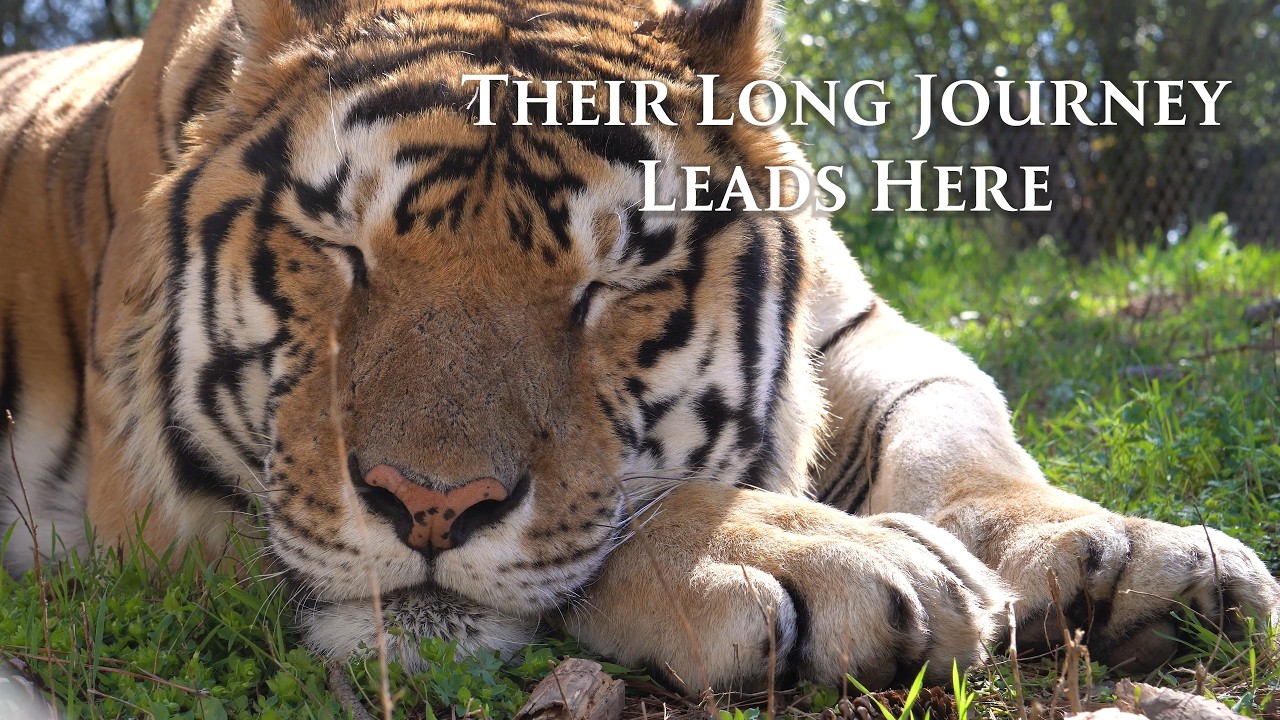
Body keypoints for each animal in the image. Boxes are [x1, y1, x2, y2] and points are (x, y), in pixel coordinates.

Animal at [1, 0, 1277, 694]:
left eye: (608, 283)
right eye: (339, 250)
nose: (425, 505)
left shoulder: (859, 327)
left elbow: (957, 429)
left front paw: (1123, 550)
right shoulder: (156, 502)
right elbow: (622, 512)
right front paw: (806, 551)